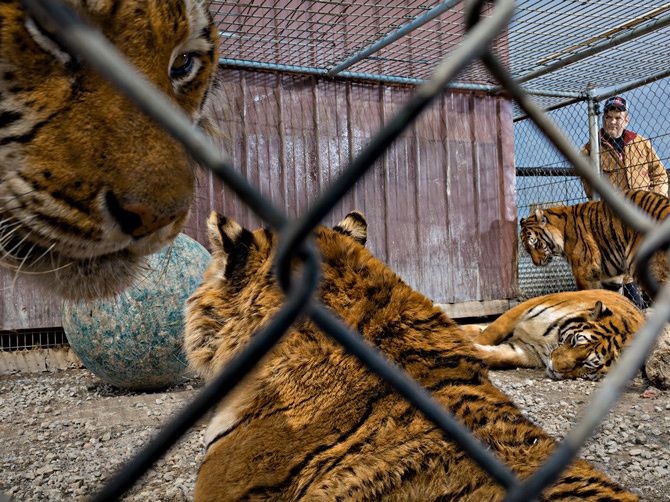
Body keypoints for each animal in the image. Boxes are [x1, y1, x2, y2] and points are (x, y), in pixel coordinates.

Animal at [465, 290, 644, 380]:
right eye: (574, 341)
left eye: (587, 364)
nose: (554, 367)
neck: (551, 340)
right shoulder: (521, 309)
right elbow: (490, 333)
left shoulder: (528, 351)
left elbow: (496, 356)